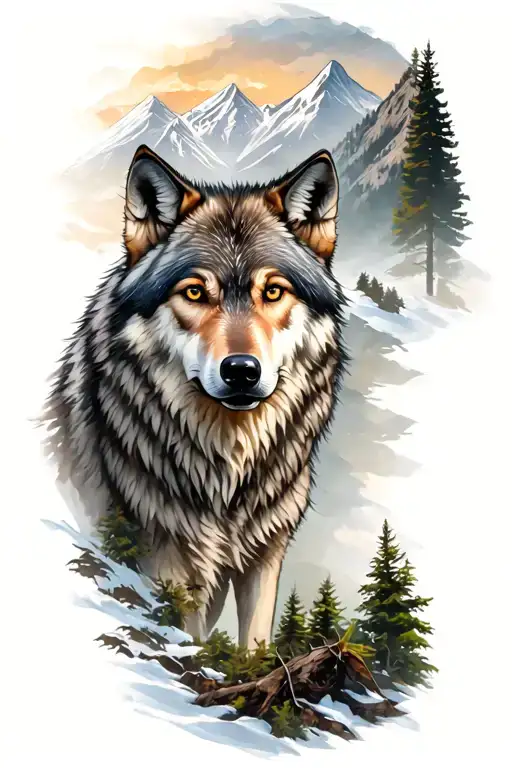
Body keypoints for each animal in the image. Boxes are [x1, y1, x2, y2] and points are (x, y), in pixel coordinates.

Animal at [44, 143, 348, 648]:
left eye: (273, 291)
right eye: (194, 292)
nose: (242, 371)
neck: (225, 473)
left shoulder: (264, 555)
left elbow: (253, 646)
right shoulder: (166, 559)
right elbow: (184, 642)